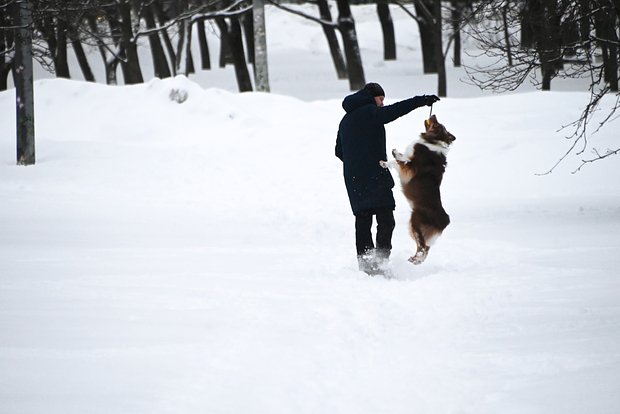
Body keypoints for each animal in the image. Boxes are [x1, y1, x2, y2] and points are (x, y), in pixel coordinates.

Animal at [378, 115, 456, 266]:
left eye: (437, 124)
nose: (433, 115)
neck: (433, 141)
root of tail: (445, 219)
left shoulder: (409, 169)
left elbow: (397, 162)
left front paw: (384, 163)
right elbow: (401, 156)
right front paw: (395, 152)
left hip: (415, 222)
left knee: (422, 247)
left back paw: (415, 259)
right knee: (426, 248)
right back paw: (416, 261)